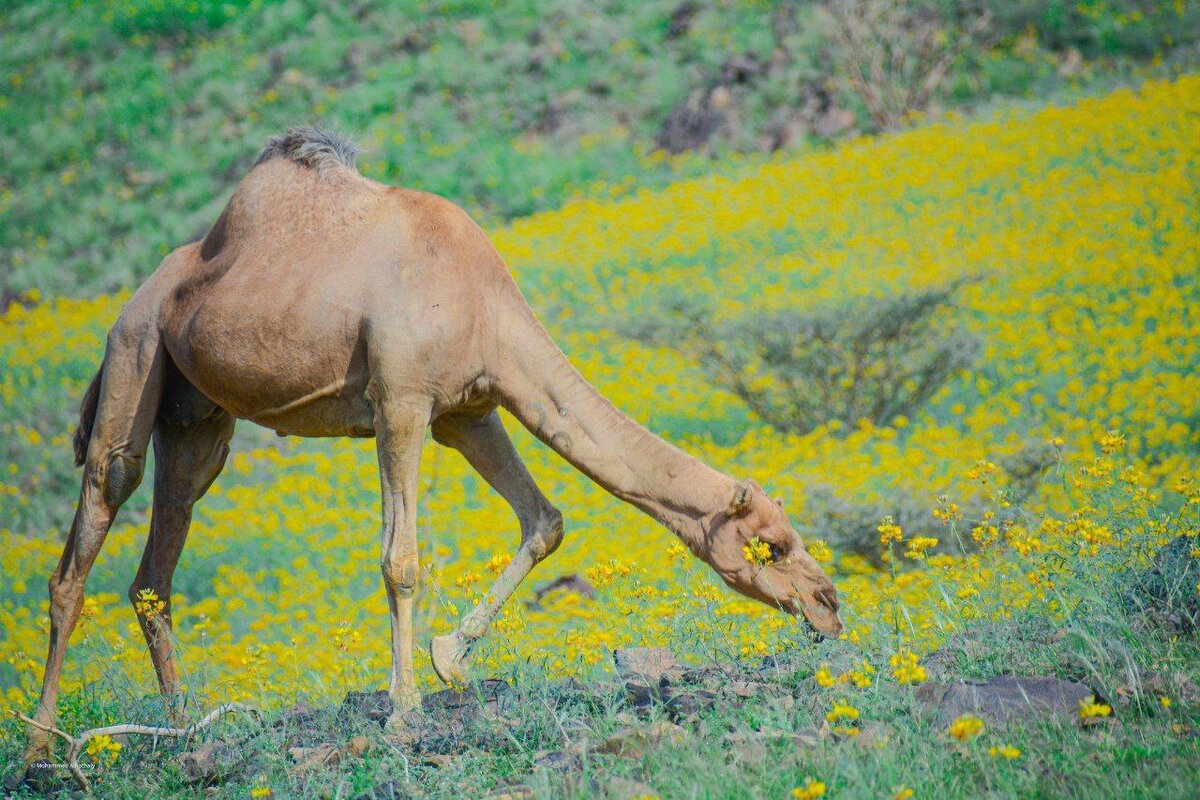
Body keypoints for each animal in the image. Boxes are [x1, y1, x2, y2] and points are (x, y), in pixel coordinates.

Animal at [21, 126, 844, 762]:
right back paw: (39, 748)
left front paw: (451, 663)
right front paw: (405, 712)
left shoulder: (468, 411)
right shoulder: (402, 401)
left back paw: (187, 731)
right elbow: (402, 558)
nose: (831, 607)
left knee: (155, 570)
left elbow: (544, 519)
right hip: (135, 356)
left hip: (196, 418)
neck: (481, 299)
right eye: (771, 546)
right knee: (89, 527)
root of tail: (138, 298)